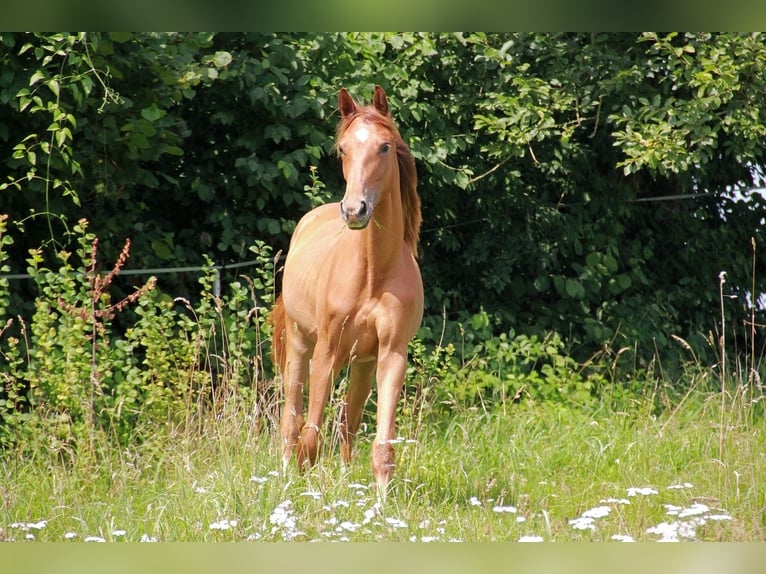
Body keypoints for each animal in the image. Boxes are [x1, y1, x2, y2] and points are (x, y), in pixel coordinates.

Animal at [272, 86, 426, 500]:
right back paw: (282, 476)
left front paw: (382, 506)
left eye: (384, 147)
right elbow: (310, 438)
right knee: (291, 421)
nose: (355, 210)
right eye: (343, 148)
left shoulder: (390, 356)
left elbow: (382, 446)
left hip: (362, 363)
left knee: (349, 423)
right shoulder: (326, 351)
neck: (372, 273)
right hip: (300, 345)